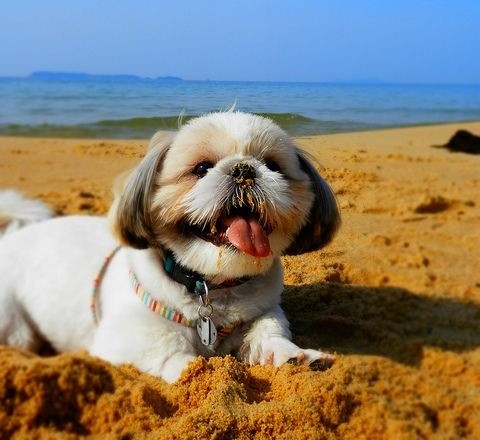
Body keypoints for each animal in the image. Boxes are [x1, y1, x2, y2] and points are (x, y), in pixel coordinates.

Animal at [0, 112, 340, 382]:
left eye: (273, 165)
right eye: (201, 169)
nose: (244, 169)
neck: (210, 287)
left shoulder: (262, 312)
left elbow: (267, 333)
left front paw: (297, 357)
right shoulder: (128, 337)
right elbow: (173, 355)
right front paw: (200, 372)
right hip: (16, 327)